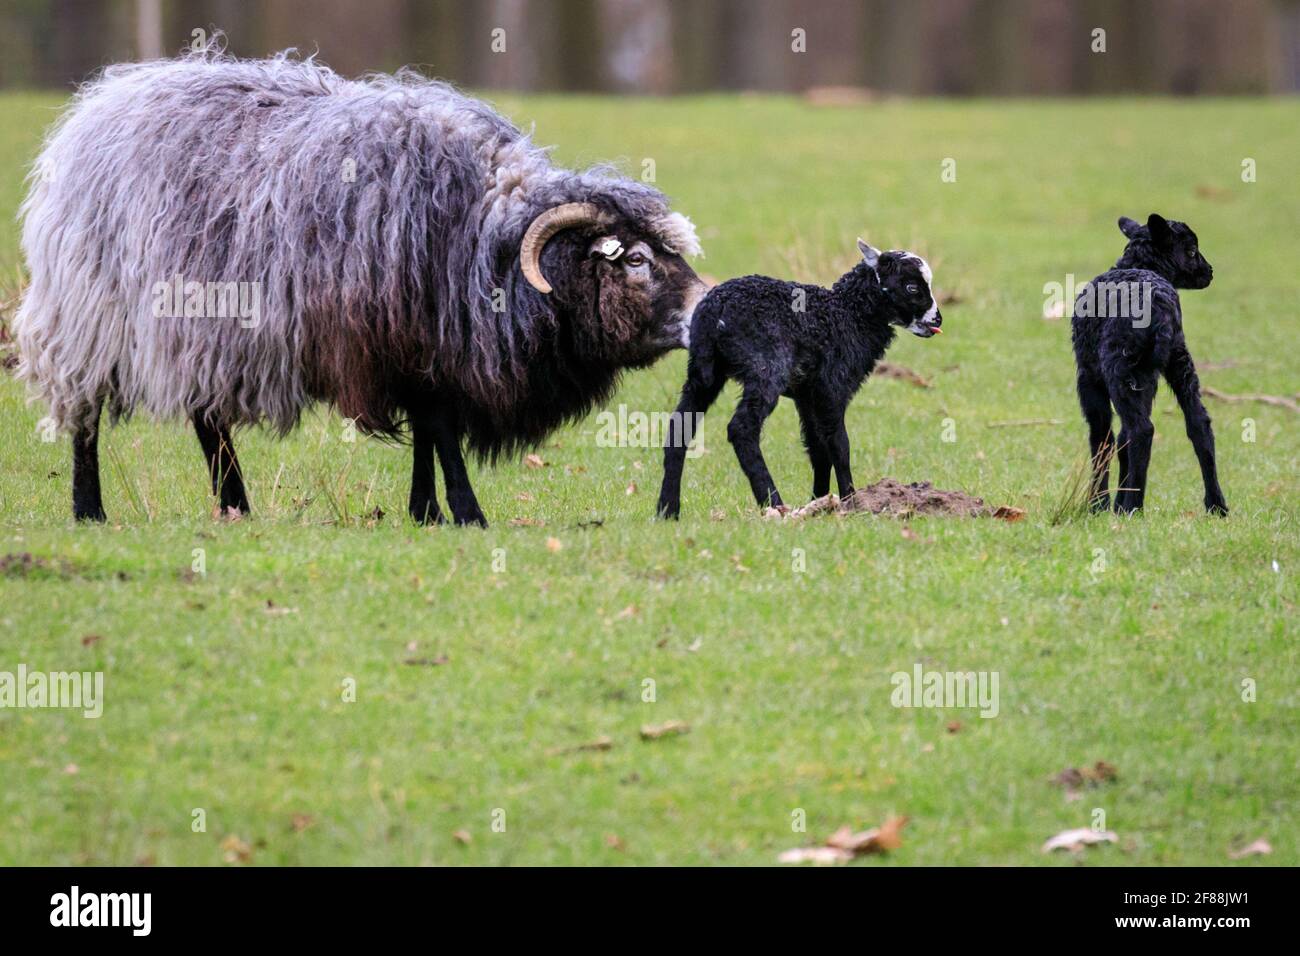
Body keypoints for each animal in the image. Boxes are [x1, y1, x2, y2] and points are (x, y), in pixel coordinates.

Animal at [15, 44, 707, 527]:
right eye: (636, 259)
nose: (708, 305)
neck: (485, 247)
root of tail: (105, 100)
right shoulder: (399, 338)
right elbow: (439, 428)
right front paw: (466, 512)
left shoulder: (427, 350)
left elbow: (428, 432)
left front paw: (427, 512)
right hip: (92, 314)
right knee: (85, 415)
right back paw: (90, 509)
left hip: (202, 329)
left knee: (207, 418)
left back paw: (236, 505)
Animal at [656, 239, 943, 519]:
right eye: (912, 287)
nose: (938, 320)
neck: (847, 314)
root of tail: (714, 310)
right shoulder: (832, 387)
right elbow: (840, 445)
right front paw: (851, 502)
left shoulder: (807, 394)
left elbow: (818, 449)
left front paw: (820, 502)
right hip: (767, 368)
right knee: (741, 428)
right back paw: (774, 504)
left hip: (704, 372)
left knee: (679, 427)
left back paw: (667, 510)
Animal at [1072, 214, 1226, 516]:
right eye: (1192, 251)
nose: (1210, 272)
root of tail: (1159, 307)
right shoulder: (1149, 378)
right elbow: (1121, 441)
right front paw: (1113, 501)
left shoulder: (1088, 377)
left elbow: (1102, 438)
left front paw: (1099, 505)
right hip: (1176, 360)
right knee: (1198, 423)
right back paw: (1216, 505)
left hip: (1120, 366)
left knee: (1141, 430)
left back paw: (1132, 507)